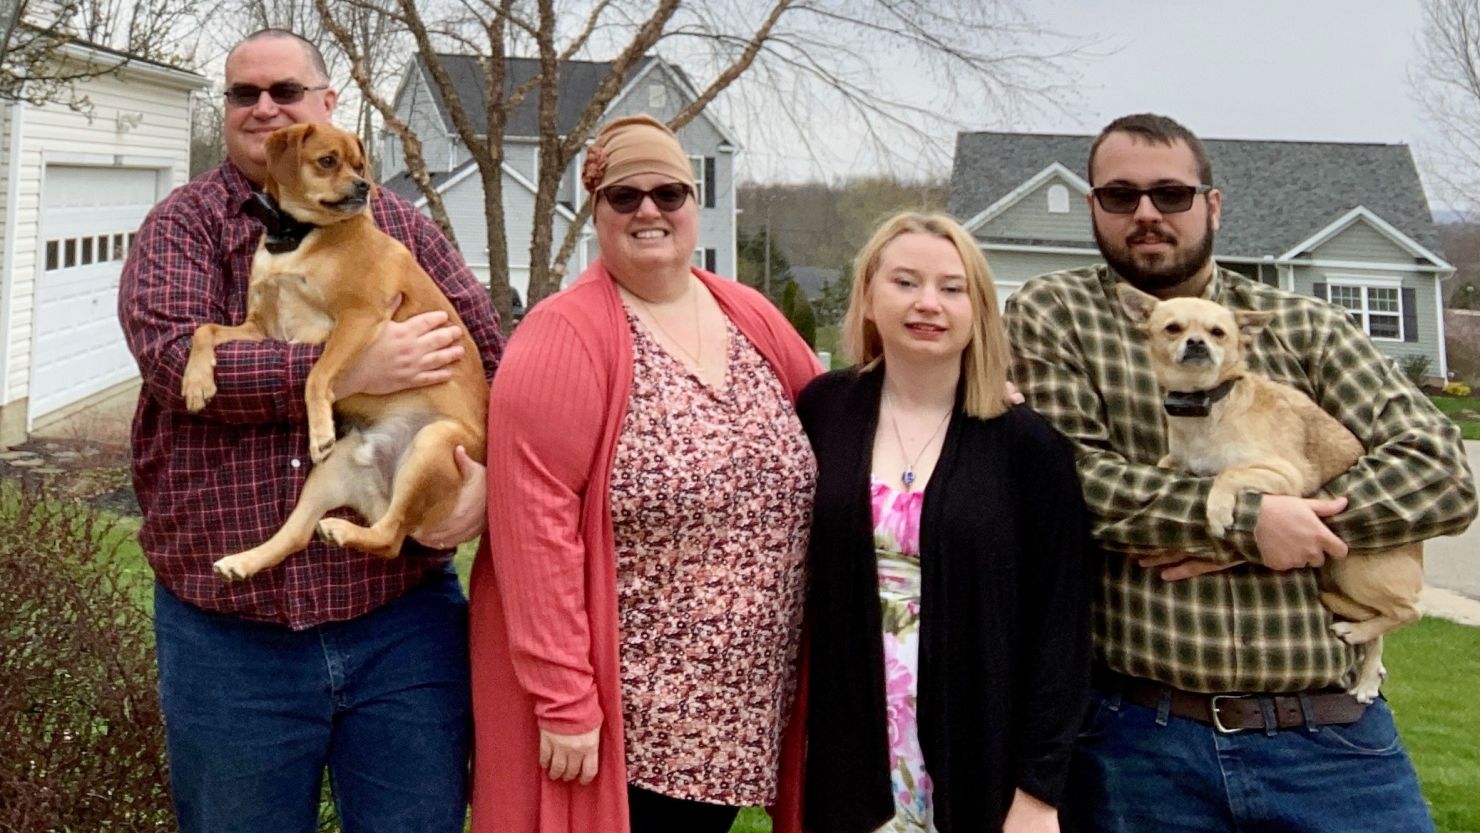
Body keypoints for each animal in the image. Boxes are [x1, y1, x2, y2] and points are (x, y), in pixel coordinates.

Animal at [182, 122, 488, 579]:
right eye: (328, 161)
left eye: (360, 165)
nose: (364, 186)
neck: (298, 237)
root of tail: (384, 490)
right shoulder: (261, 328)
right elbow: (204, 330)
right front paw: (196, 384)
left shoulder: (357, 319)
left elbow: (316, 374)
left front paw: (320, 429)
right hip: (331, 473)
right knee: (297, 536)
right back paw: (243, 560)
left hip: (433, 443)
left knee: (389, 539)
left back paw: (343, 531)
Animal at [1118, 284, 1420, 701]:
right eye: (1173, 328)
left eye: (1218, 333)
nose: (1196, 343)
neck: (1206, 405)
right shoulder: (1176, 458)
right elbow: (1168, 465)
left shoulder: (1286, 476)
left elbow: (1228, 474)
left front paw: (1217, 512)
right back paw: (1367, 676)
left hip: (1354, 568)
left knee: (1408, 611)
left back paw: (1357, 635)